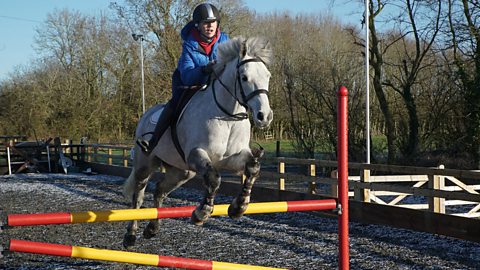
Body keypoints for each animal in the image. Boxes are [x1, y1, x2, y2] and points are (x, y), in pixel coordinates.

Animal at [123, 35, 274, 249]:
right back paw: (130, 235)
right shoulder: (197, 154)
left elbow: (253, 168)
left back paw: (152, 229)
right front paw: (201, 213)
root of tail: (146, 114)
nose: (264, 116)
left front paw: (239, 207)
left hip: (182, 172)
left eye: (267, 76)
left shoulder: (234, 158)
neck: (227, 116)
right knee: (138, 195)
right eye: (244, 77)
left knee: (160, 190)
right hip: (145, 165)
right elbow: (213, 178)